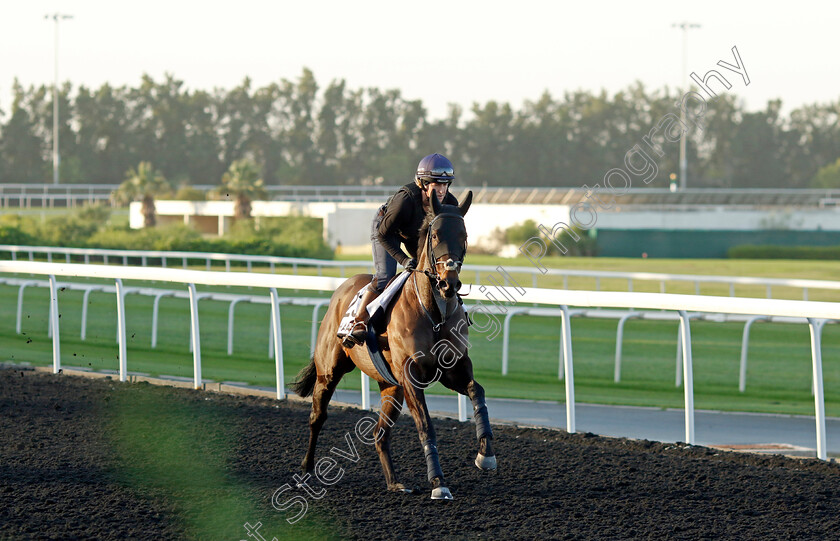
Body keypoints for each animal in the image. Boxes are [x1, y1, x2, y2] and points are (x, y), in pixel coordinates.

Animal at [292, 189, 496, 498]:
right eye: (435, 235)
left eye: (464, 235)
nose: (449, 284)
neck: (434, 313)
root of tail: (342, 288)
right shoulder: (412, 377)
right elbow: (425, 426)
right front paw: (438, 482)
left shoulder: (452, 369)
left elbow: (478, 392)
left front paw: (486, 455)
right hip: (330, 372)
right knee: (317, 416)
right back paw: (306, 470)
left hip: (391, 387)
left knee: (379, 434)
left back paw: (394, 483)